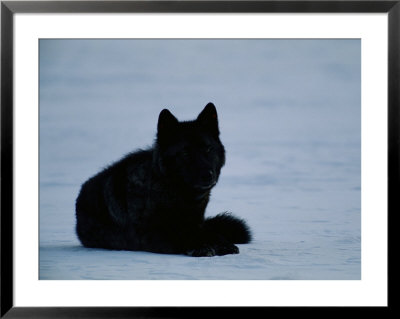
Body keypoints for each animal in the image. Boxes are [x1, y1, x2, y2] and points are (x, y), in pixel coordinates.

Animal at [75, 103, 250, 258]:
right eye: (185, 153)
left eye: (207, 148)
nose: (208, 175)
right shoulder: (151, 235)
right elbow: (181, 236)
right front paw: (200, 247)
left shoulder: (197, 224)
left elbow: (209, 232)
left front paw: (222, 244)